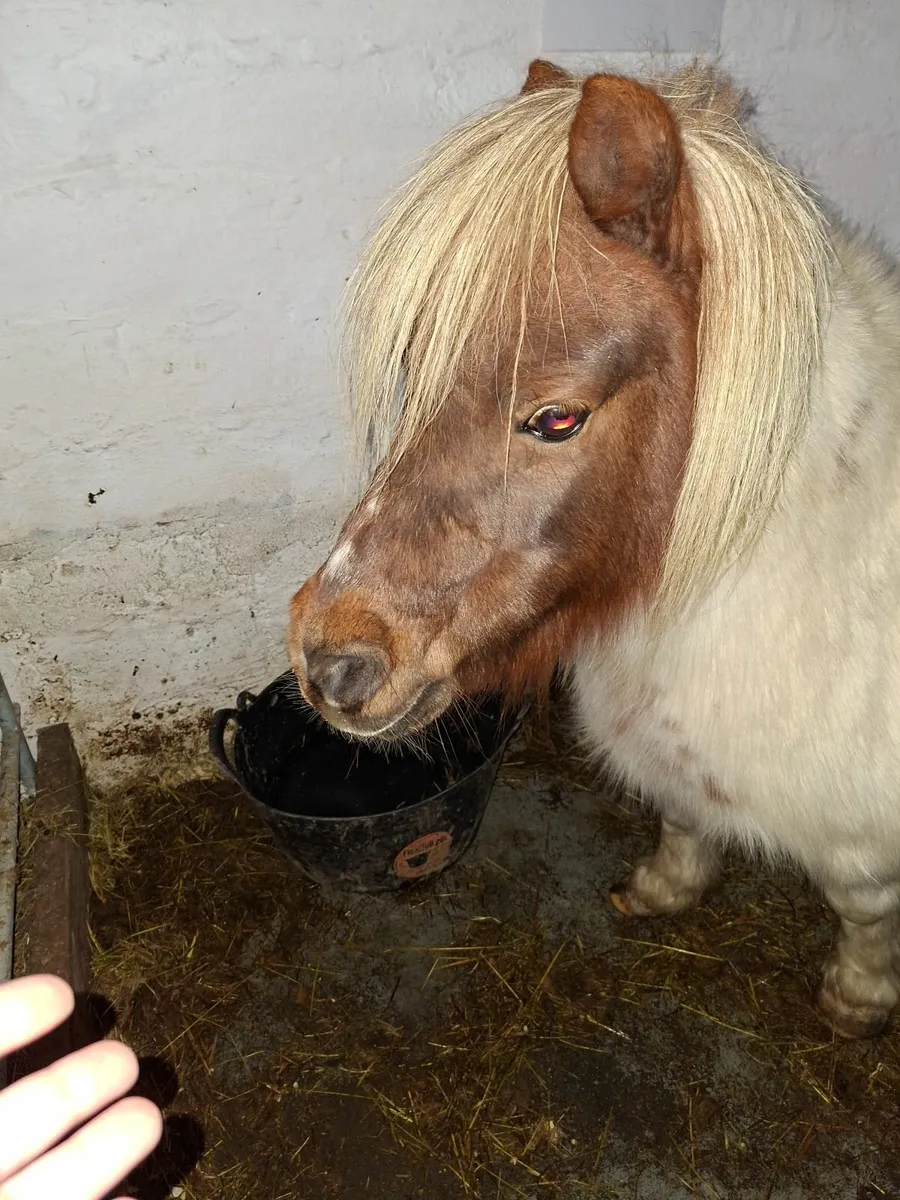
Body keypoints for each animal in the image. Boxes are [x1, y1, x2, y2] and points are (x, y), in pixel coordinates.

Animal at [287, 60, 900, 1039]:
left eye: (556, 418)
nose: (330, 664)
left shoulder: (864, 833)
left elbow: (862, 904)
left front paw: (857, 999)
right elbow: (683, 815)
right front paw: (660, 890)